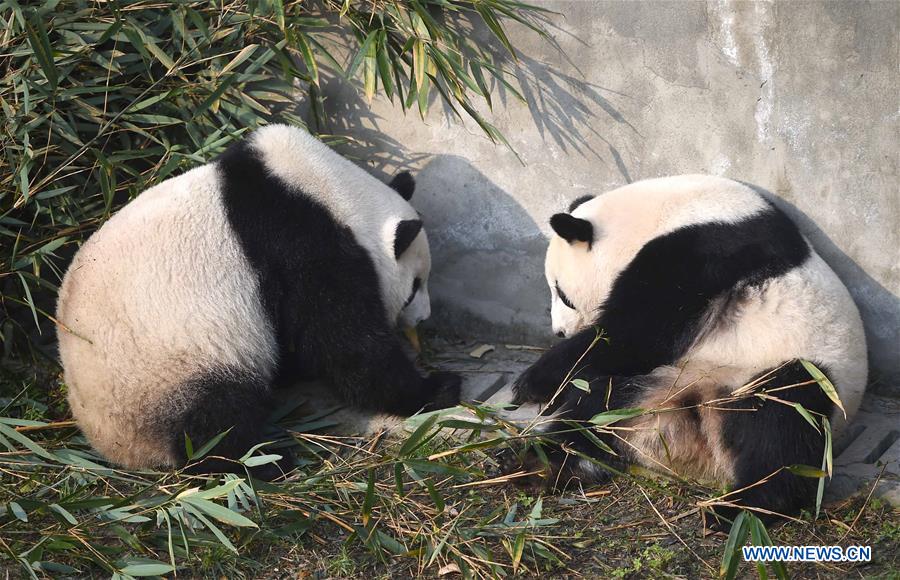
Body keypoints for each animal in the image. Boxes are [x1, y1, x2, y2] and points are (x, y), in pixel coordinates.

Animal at [55, 124, 460, 478]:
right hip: (172, 368)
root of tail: (115, 448)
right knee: (216, 423)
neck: (330, 192)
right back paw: (267, 462)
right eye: (414, 286)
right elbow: (346, 346)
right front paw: (436, 388)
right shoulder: (301, 247)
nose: (423, 318)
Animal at [510, 174, 868, 524]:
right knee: (596, 409)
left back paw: (741, 508)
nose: (559, 331)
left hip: (787, 371)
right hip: (656, 387)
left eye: (563, 294)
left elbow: (636, 335)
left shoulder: (701, 251)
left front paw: (532, 381)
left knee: (784, 424)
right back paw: (538, 465)